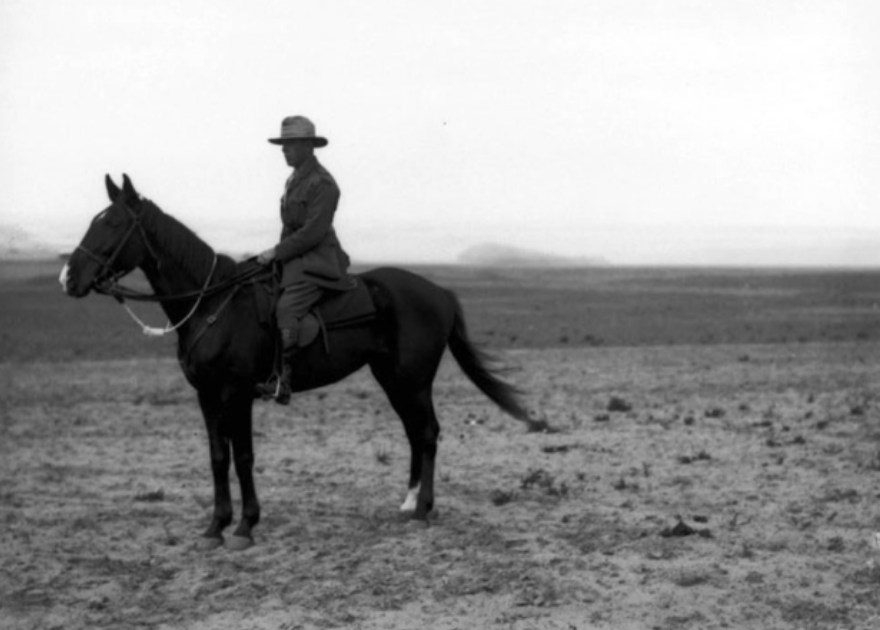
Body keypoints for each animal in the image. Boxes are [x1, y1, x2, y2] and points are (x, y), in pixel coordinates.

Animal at [62, 175, 528, 552]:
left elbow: (243, 456)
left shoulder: (237, 394)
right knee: (416, 433)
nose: (68, 277)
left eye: (113, 223)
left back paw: (422, 510)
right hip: (393, 379)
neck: (211, 303)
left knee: (427, 432)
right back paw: (410, 501)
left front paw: (245, 527)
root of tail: (441, 293)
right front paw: (215, 527)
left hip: (412, 380)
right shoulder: (207, 396)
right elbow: (217, 456)